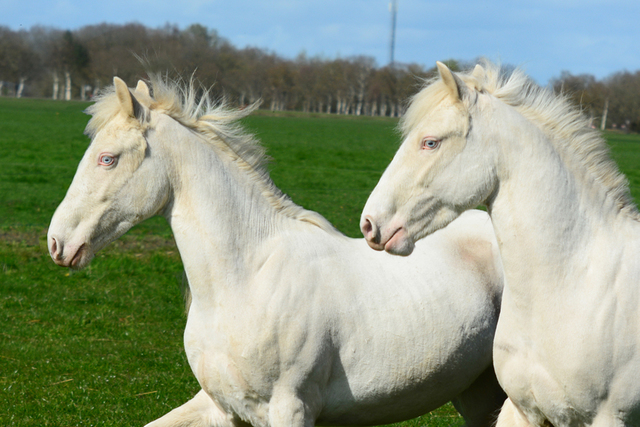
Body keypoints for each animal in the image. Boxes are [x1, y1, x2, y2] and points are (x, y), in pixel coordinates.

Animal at [46, 76, 504, 427]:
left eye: (107, 159)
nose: (57, 243)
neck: (244, 281)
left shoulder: (290, 409)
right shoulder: (220, 408)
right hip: (477, 393)